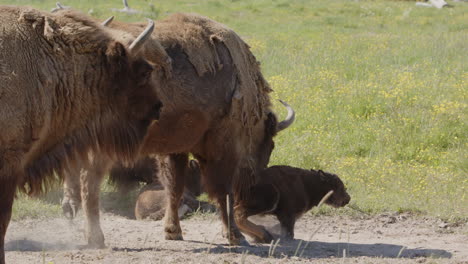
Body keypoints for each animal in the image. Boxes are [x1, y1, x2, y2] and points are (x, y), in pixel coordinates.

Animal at [59, 11, 292, 248]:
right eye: (270, 145)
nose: (258, 179)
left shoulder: (175, 149)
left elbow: (174, 189)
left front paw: (173, 232)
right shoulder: (222, 148)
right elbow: (223, 191)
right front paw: (236, 236)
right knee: (89, 183)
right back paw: (95, 236)